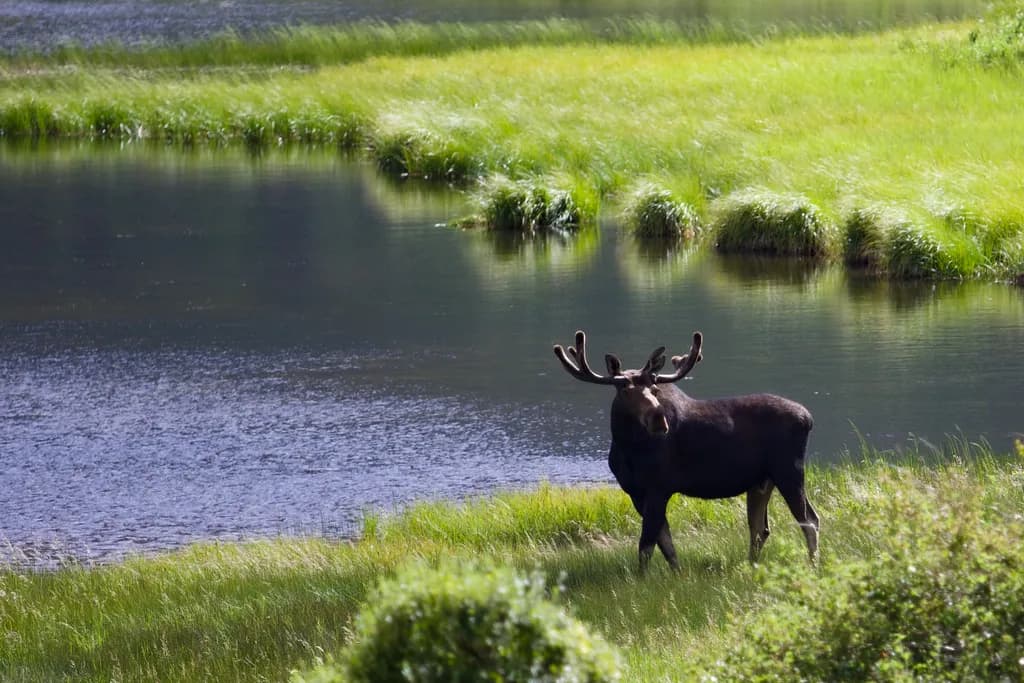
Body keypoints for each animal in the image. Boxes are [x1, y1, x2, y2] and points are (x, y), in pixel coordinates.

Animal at [553, 330, 819, 573]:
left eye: (655, 390)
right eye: (625, 390)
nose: (658, 418)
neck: (627, 448)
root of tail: (808, 417)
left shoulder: (659, 487)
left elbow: (647, 544)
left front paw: (643, 580)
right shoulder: (635, 492)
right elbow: (666, 543)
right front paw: (678, 575)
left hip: (789, 471)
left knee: (809, 520)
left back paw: (812, 565)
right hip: (762, 481)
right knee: (760, 528)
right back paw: (752, 566)